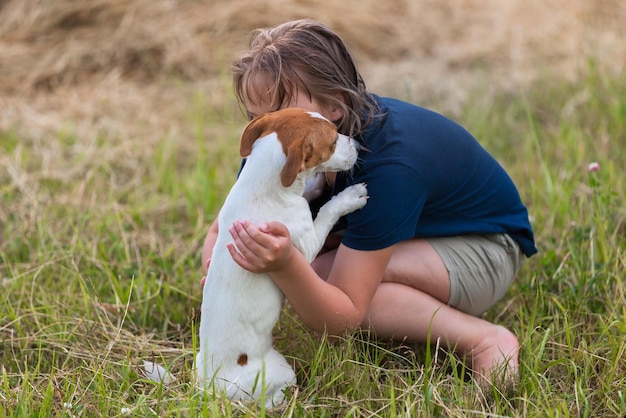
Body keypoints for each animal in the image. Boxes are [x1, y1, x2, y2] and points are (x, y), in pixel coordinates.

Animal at [196, 107, 366, 404]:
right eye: (333, 140)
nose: (358, 145)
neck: (261, 186)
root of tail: (210, 388)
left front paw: (313, 184)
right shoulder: (307, 244)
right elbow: (327, 212)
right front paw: (349, 197)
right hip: (279, 371)